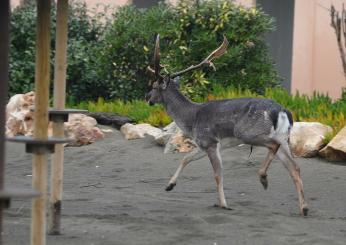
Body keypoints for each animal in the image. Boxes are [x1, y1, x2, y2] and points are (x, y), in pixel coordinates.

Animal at [145, 33, 308, 215]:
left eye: (154, 86)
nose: (146, 97)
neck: (191, 120)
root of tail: (282, 111)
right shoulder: (204, 144)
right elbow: (186, 158)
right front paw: (169, 185)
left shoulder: (209, 142)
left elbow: (217, 174)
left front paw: (223, 204)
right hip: (284, 137)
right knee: (295, 167)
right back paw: (304, 208)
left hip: (249, 133)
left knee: (274, 147)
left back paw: (263, 178)